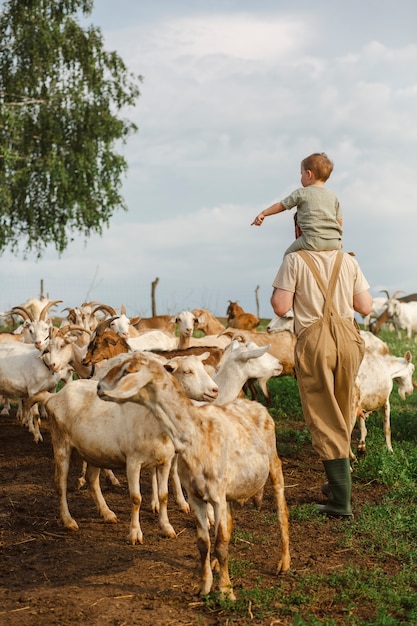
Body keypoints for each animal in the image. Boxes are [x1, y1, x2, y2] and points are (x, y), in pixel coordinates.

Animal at [98, 352, 290, 600]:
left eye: (128, 371)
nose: (98, 387)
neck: (195, 432)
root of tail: (255, 404)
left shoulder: (216, 496)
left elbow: (220, 544)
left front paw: (226, 591)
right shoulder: (196, 495)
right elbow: (204, 542)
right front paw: (204, 585)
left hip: (274, 466)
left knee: (282, 513)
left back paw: (284, 562)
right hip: (232, 489)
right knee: (229, 525)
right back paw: (218, 566)